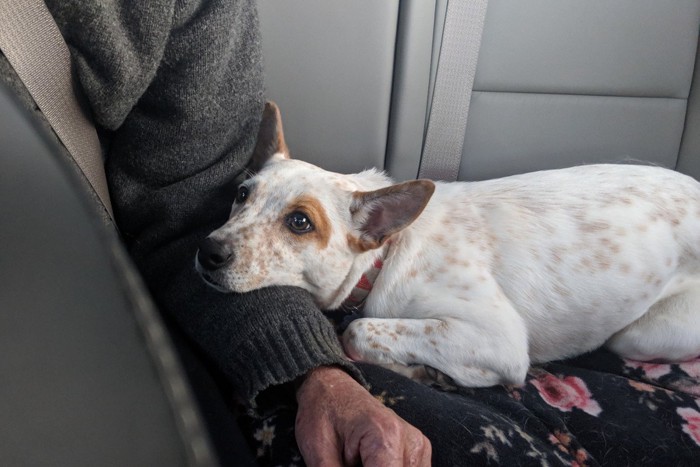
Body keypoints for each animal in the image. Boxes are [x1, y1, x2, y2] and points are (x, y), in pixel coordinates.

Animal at [194, 102, 700, 388]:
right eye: (242, 195)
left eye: (300, 222)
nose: (207, 252)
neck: (387, 257)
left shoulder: (499, 339)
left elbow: (358, 330)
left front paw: (427, 371)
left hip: (637, 336)